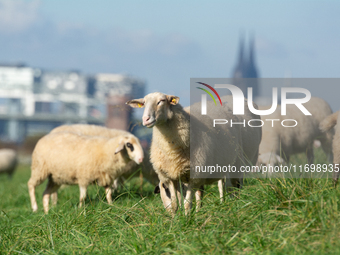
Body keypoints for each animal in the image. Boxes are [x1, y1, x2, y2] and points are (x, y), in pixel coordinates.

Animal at [126, 92, 262, 214]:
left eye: (161, 101)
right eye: (143, 103)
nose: (145, 119)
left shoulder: (194, 175)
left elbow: (187, 203)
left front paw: (188, 219)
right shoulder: (170, 176)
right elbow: (176, 203)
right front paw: (177, 220)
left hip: (239, 162)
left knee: (234, 186)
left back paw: (234, 205)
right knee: (222, 185)